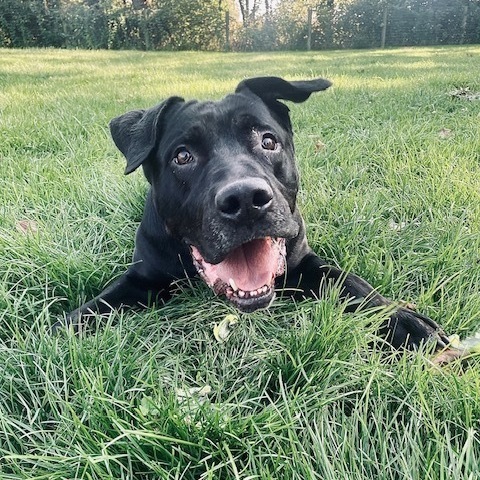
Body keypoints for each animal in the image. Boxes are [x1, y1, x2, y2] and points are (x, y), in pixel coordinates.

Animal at [54, 77, 448, 350]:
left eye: (268, 141)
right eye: (183, 156)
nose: (245, 199)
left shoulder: (304, 262)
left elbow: (352, 284)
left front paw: (403, 320)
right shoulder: (142, 277)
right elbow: (91, 309)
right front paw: (52, 335)